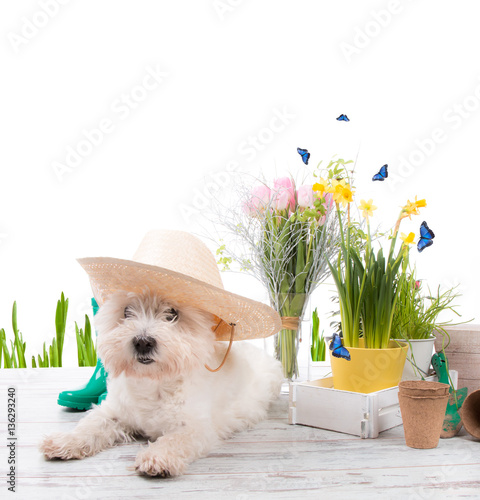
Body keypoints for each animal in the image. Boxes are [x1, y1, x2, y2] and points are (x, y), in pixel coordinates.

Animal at [40, 290, 284, 476]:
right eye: (127, 311)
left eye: (172, 313)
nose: (142, 342)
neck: (153, 382)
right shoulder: (114, 412)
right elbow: (89, 425)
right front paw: (66, 441)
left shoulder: (196, 427)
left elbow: (174, 440)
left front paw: (157, 457)